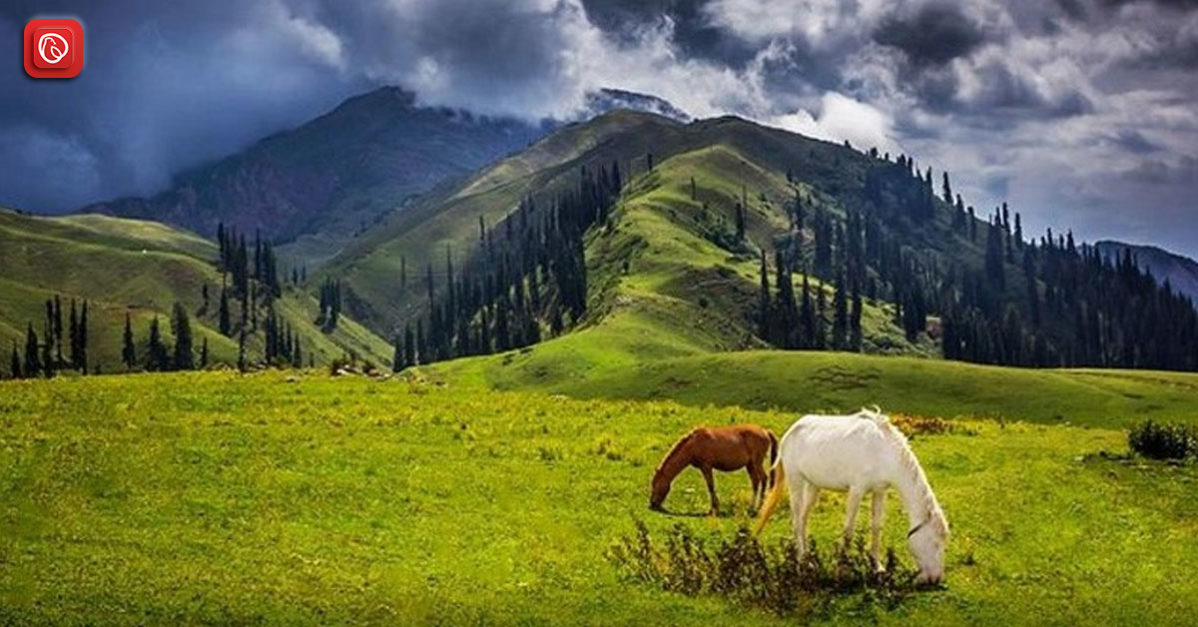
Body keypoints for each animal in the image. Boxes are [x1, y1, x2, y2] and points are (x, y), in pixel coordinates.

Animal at [752, 410, 948, 587]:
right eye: (935, 543)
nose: (936, 579)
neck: (882, 450)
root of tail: (791, 430)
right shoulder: (856, 491)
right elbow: (848, 531)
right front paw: (842, 571)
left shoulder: (879, 491)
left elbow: (876, 527)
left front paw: (877, 567)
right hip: (796, 481)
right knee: (796, 521)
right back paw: (802, 561)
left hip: (814, 486)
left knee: (803, 519)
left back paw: (807, 557)